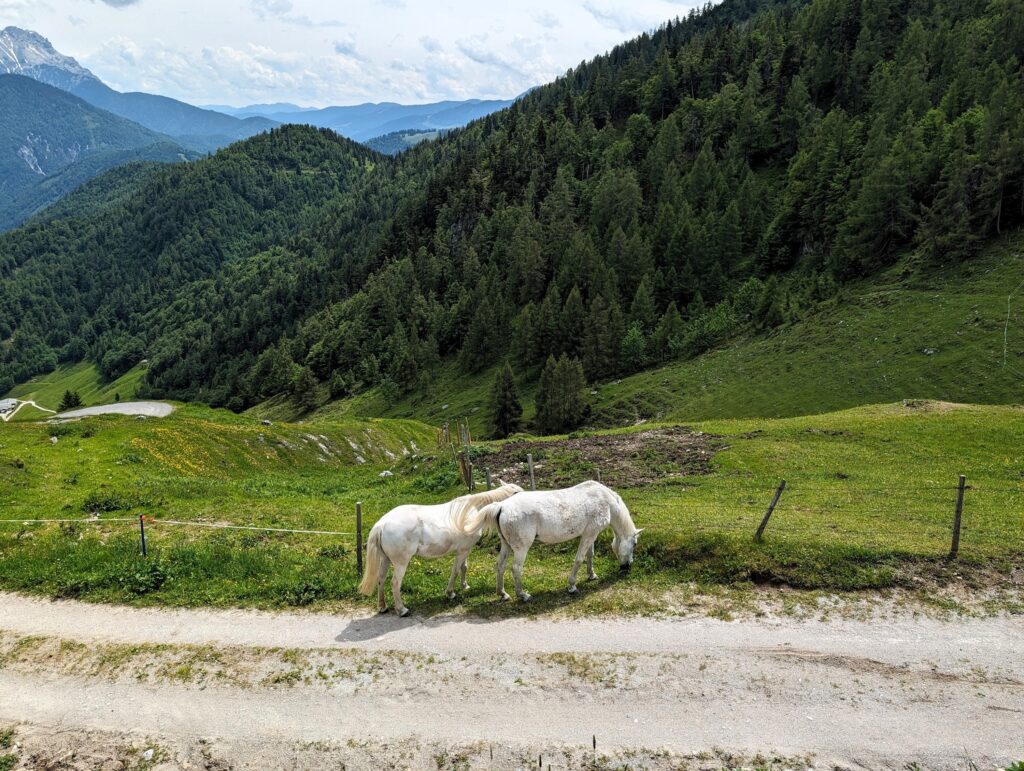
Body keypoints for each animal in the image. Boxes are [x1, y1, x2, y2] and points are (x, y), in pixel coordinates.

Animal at [358, 483, 524, 618]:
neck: (471, 511)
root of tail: (382, 524)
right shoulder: (463, 550)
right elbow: (455, 570)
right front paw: (450, 593)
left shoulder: (464, 549)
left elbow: (464, 567)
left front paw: (465, 586)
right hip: (400, 563)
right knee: (395, 583)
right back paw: (402, 610)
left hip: (385, 559)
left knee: (381, 579)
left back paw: (382, 607)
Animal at [456, 481, 638, 602]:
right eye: (635, 544)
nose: (627, 566)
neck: (605, 500)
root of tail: (501, 506)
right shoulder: (589, 534)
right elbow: (579, 559)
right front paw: (572, 586)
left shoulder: (590, 534)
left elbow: (590, 555)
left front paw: (591, 575)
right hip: (521, 548)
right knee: (515, 568)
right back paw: (523, 595)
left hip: (506, 546)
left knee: (500, 566)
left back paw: (503, 594)